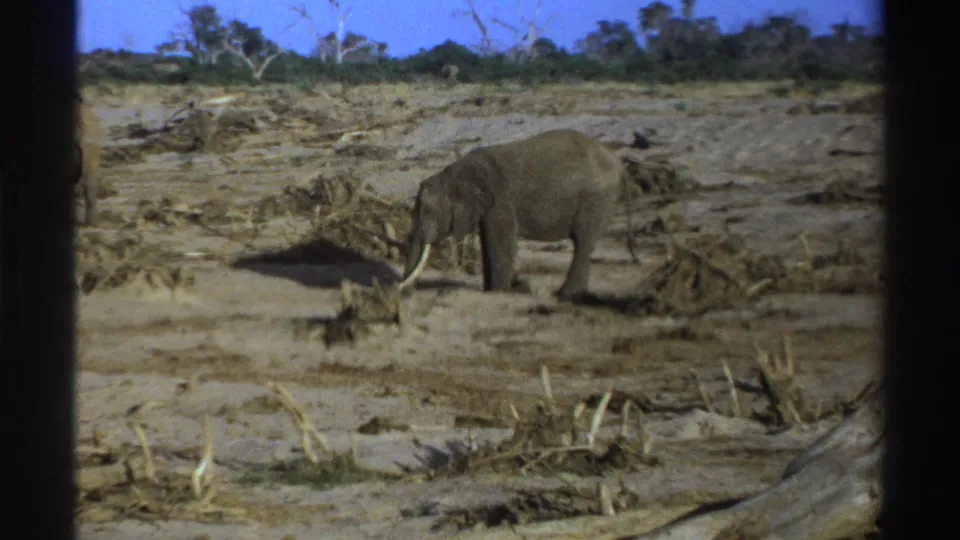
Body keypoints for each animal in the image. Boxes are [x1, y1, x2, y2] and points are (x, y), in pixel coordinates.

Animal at [398, 129, 639, 301]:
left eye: (428, 211)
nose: (406, 293)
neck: (452, 174)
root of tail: (620, 165)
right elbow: (488, 241)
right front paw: (494, 290)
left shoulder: (501, 200)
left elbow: (500, 242)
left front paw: (498, 292)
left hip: (596, 198)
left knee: (583, 242)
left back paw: (564, 295)